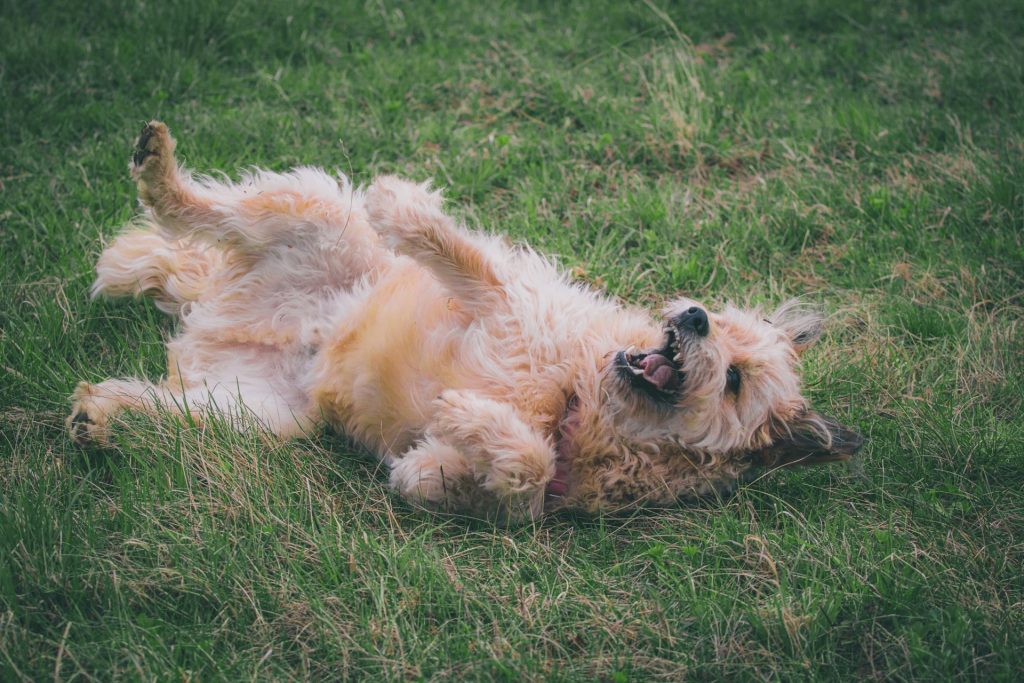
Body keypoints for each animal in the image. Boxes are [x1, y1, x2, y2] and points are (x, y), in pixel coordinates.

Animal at [68, 120, 860, 520]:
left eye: (735, 380)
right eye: (719, 320)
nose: (692, 317)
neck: (579, 400)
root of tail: (216, 310)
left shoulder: (498, 487)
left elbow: (513, 469)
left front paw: (469, 425)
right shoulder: (508, 298)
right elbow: (463, 254)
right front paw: (399, 202)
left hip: (255, 412)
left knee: (167, 408)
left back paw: (103, 414)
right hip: (313, 215)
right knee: (193, 212)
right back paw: (161, 172)